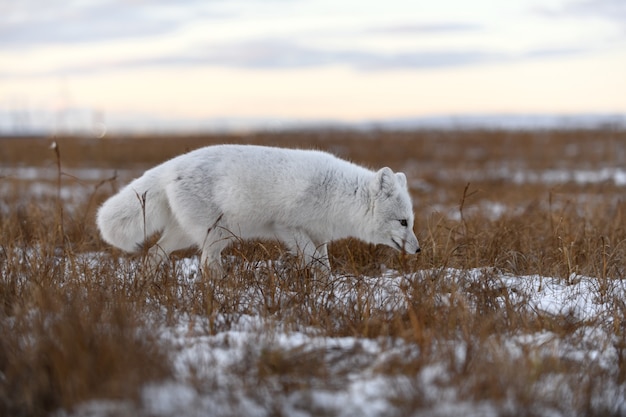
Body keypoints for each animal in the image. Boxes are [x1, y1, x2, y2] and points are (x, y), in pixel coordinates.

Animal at [96, 145, 420, 274]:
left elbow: (322, 262)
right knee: (206, 263)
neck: (339, 194)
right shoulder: (288, 227)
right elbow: (313, 259)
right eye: (403, 222)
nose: (418, 250)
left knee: (154, 253)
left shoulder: (319, 235)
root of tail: (170, 166)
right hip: (219, 234)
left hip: (186, 235)